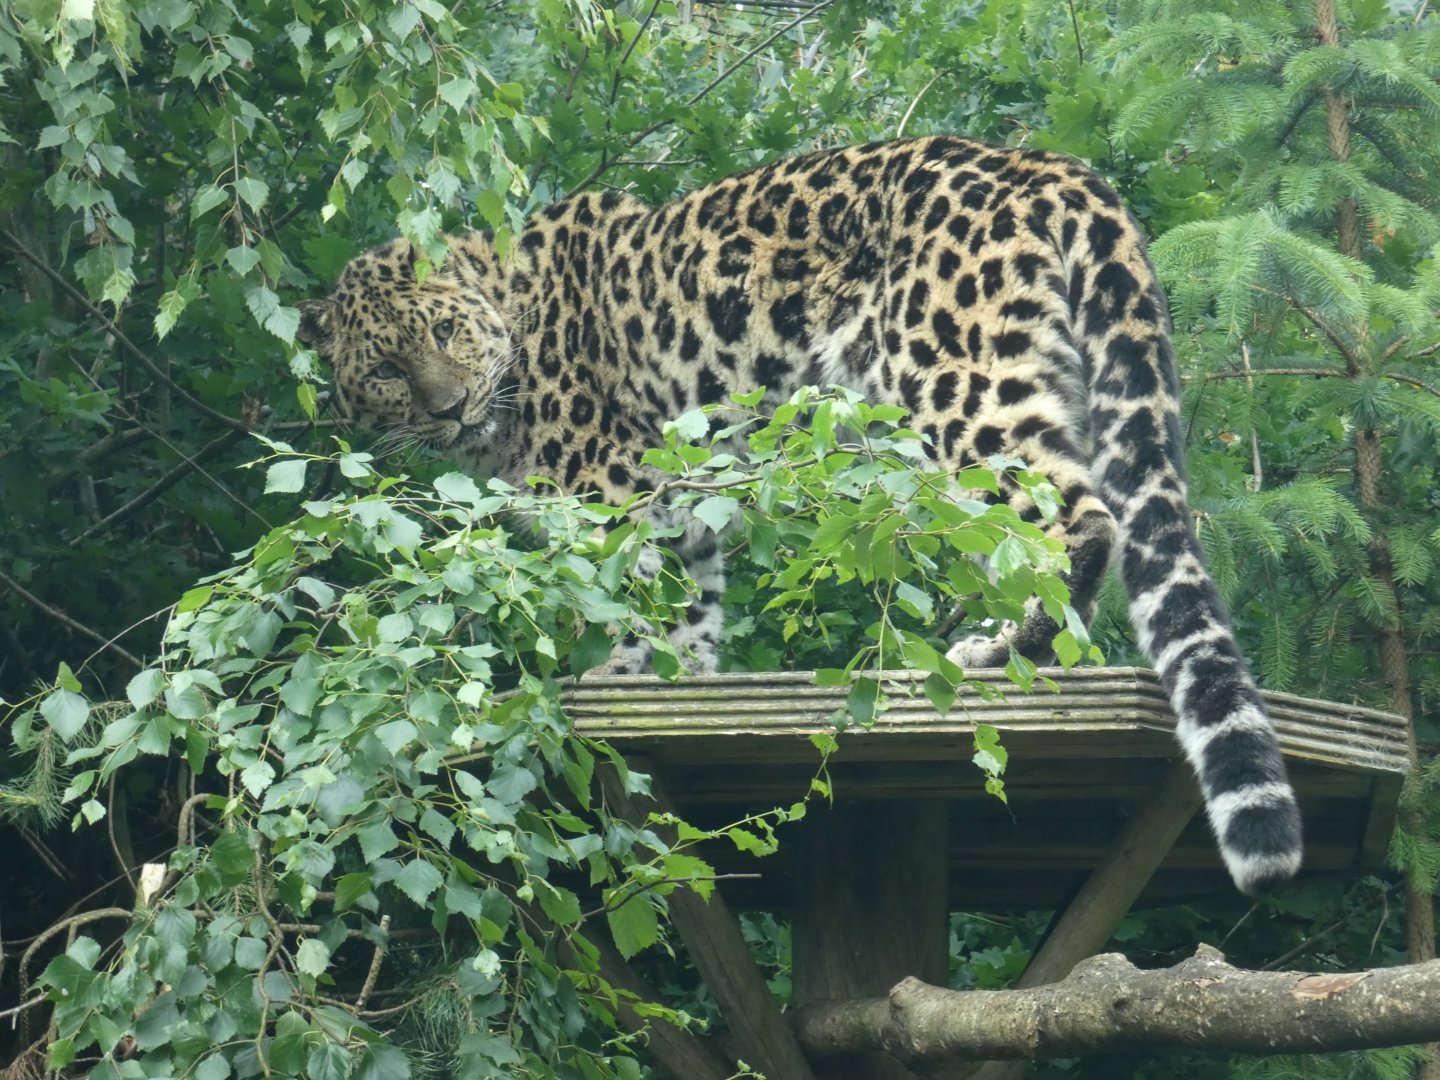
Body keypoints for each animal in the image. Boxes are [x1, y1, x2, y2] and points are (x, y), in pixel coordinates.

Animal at [296, 134, 1301, 895]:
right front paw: (675, 706)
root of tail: (1043, 165)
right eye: (384, 370)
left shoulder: (611, 497)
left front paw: (606, 694)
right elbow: (685, 629)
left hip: (954, 379)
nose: (448, 407)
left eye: (442, 332)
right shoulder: (683, 519)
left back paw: (998, 650)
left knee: (1075, 516)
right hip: (1045, 379)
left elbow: (618, 611)